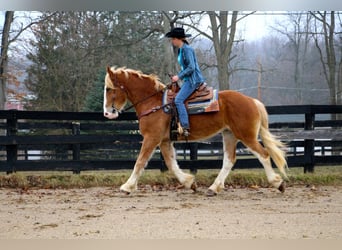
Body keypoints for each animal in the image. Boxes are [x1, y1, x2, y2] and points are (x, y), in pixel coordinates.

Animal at [103, 67, 288, 196]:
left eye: (108, 88)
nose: (107, 113)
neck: (154, 103)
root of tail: (252, 101)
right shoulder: (164, 141)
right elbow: (171, 164)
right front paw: (189, 182)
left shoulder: (151, 138)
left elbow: (140, 161)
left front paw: (127, 186)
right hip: (229, 135)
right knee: (229, 160)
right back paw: (214, 188)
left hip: (246, 136)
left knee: (263, 155)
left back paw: (277, 183)